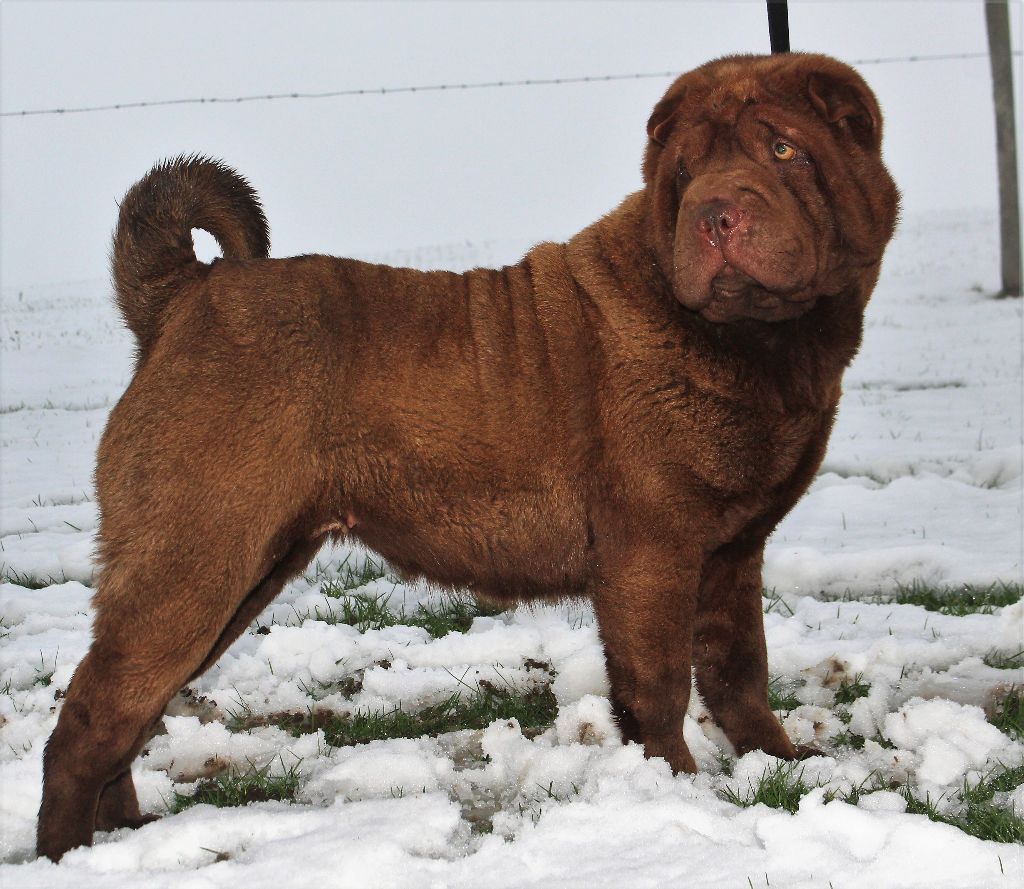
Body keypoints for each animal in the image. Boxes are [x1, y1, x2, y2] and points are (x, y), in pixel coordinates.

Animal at [37, 52, 898, 860]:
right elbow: (657, 685)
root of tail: (183, 292)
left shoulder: (733, 552)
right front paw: (678, 789)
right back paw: (66, 853)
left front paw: (778, 763)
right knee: (90, 718)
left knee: (130, 713)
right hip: (195, 562)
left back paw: (121, 834)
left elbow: (739, 671)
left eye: (784, 150)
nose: (716, 212)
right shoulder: (651, 551)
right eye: (683, 175)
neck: (761, 345)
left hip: (235, 573)